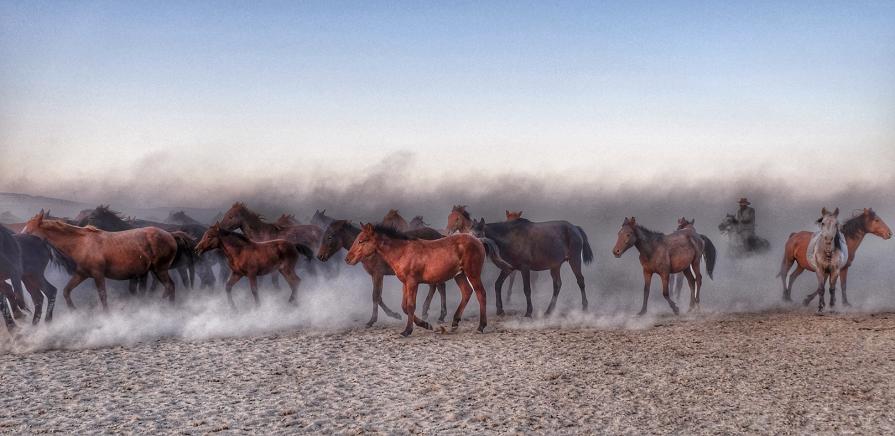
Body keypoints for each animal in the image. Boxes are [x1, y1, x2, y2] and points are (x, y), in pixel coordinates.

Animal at [21, 211, 179, 309]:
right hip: (155, 271)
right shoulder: (81, 275)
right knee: (168, 287)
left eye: (29, 231)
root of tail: (170, 235)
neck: (81, 243)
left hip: (160, 269)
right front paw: (73, 311)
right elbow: (66, 291)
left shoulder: (98, 275)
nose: (19, 241)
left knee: (170, 286)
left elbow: (103, 296)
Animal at [317, 220, 449, 326]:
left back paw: (441, 316)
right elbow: (378, 297)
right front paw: (394, 314)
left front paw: (372, 320)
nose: (319, 256)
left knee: (440, 287)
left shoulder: (378, 274)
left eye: (330, 237)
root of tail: (439, 235)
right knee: (435, 287)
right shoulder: (374, 275)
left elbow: (375, 296)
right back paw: (426, 312)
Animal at [346, 224, 506, 336]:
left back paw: (480, 326)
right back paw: (455, 322)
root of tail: (478, 240)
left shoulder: (412, 282)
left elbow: (410, 306)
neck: (403, 252)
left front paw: (407, 330)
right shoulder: (405, 283)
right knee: (466, 292)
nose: (348, 259)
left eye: (362, 241)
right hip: (459, 275)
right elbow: (404, 307)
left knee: (481, 294)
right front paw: (426, 325)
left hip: (472, 273)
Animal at [449, 206, 593, 317]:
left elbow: (527, 289)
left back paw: (585, 308)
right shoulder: (509, 268)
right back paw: (549, 311)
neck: (510, 237)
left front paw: (529, 312)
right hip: (555, 266)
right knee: (557, 285)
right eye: (468, 234)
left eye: (478, 234)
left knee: (580, 281)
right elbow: (498, 285)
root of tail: (575, 228)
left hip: (574, 260)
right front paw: (500, 310)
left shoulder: (525, 268)